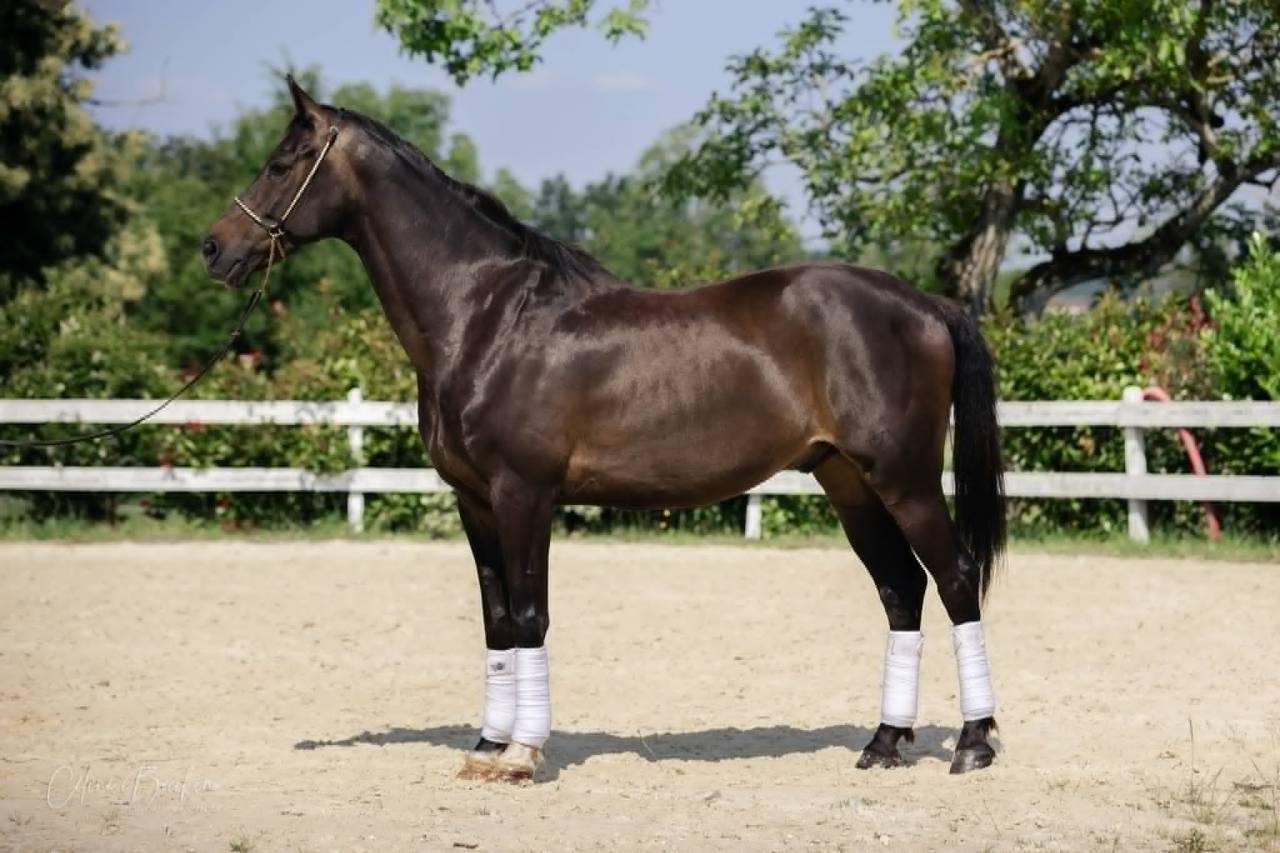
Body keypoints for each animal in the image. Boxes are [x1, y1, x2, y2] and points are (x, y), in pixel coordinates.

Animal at [203, 78, 1007, 782]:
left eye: (282, 162)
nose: (215, 247)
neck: (488, 315)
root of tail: (925, 304)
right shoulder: (475, 500)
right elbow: (498, 619)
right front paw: (487, 745)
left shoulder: (524, 494)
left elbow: (531, 614)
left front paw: (521, 754)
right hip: (847, 481)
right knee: (902, 589)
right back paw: (884, 743)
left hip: (903, 479)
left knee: (956, 577)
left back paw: (972, 745)